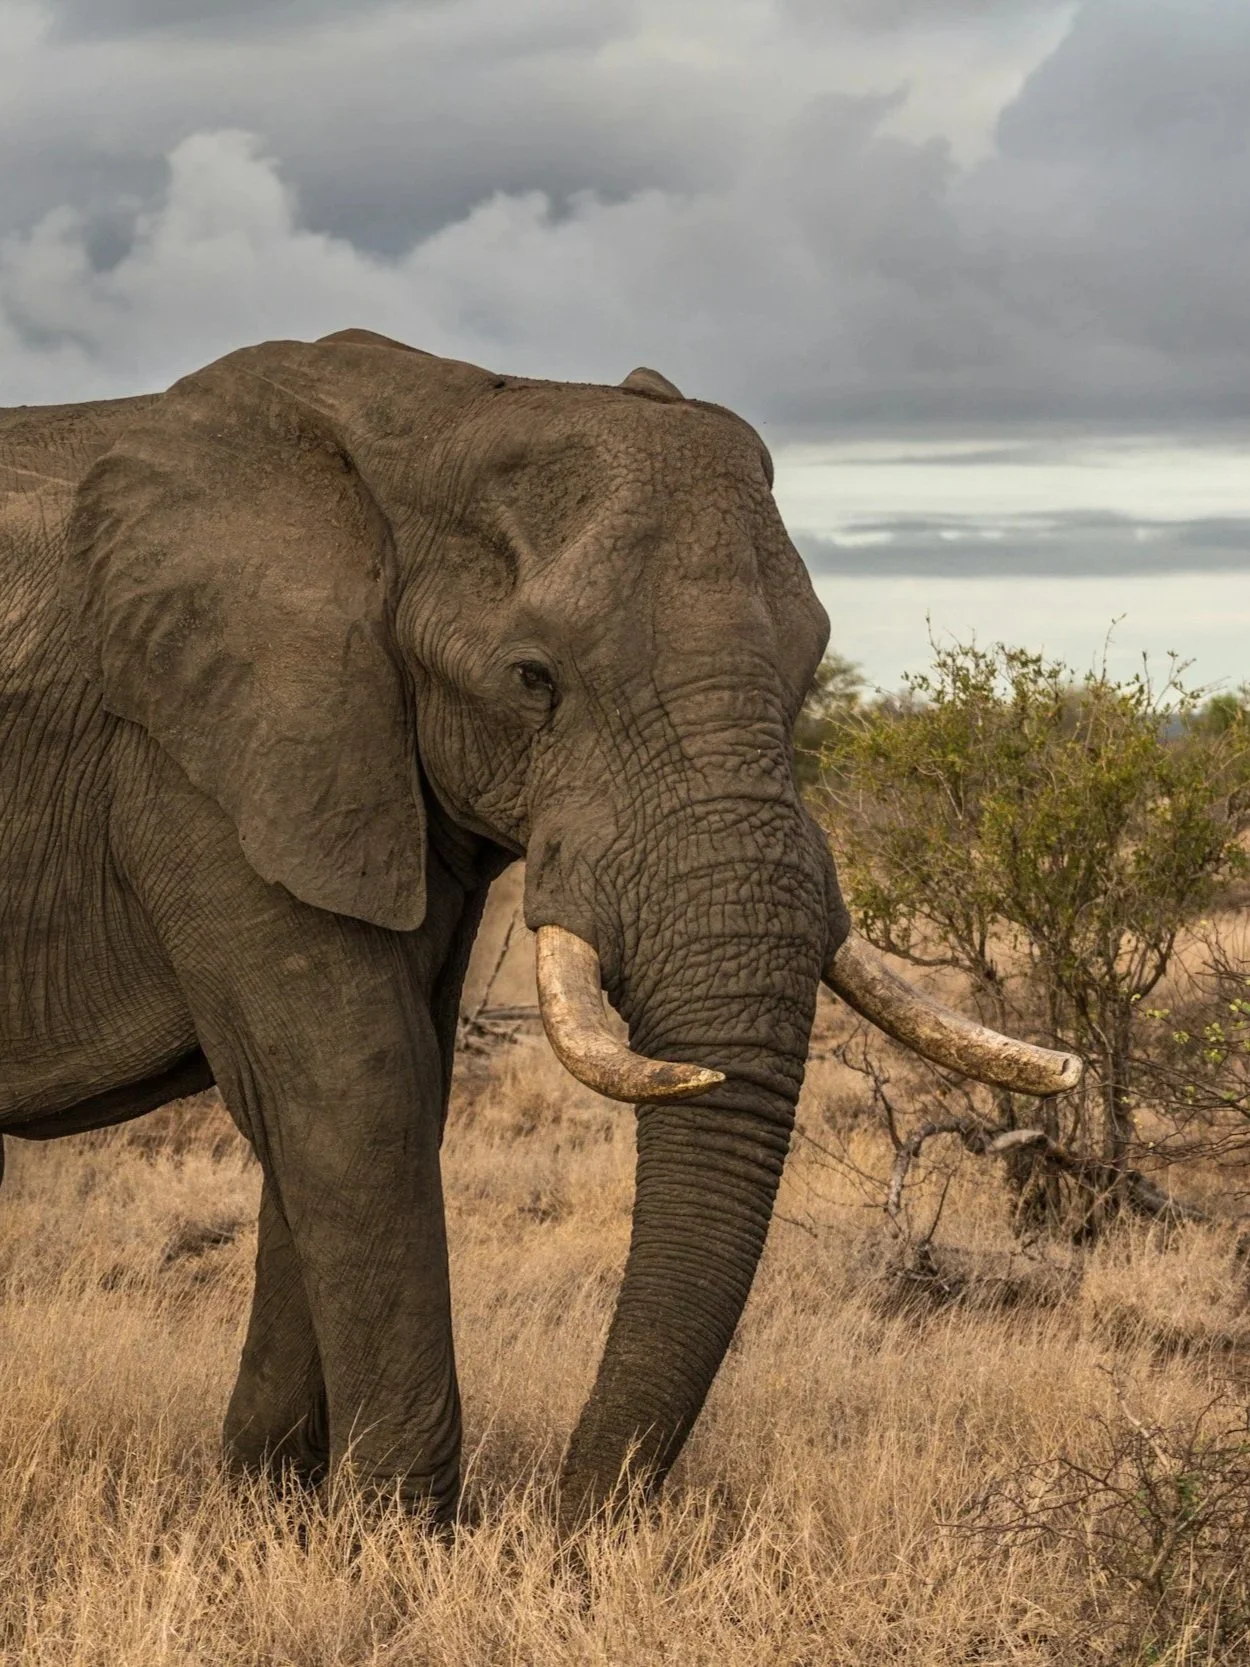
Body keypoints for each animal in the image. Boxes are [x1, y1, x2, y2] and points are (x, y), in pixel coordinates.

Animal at [0, 327, 1080, 1530]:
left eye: (809, 670)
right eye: (533, 679)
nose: (574, 1526)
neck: (431, 418)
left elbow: (383, 1086)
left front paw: (272, 1508)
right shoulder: (200, 754)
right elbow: (352, 1083)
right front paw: (391, 1531)